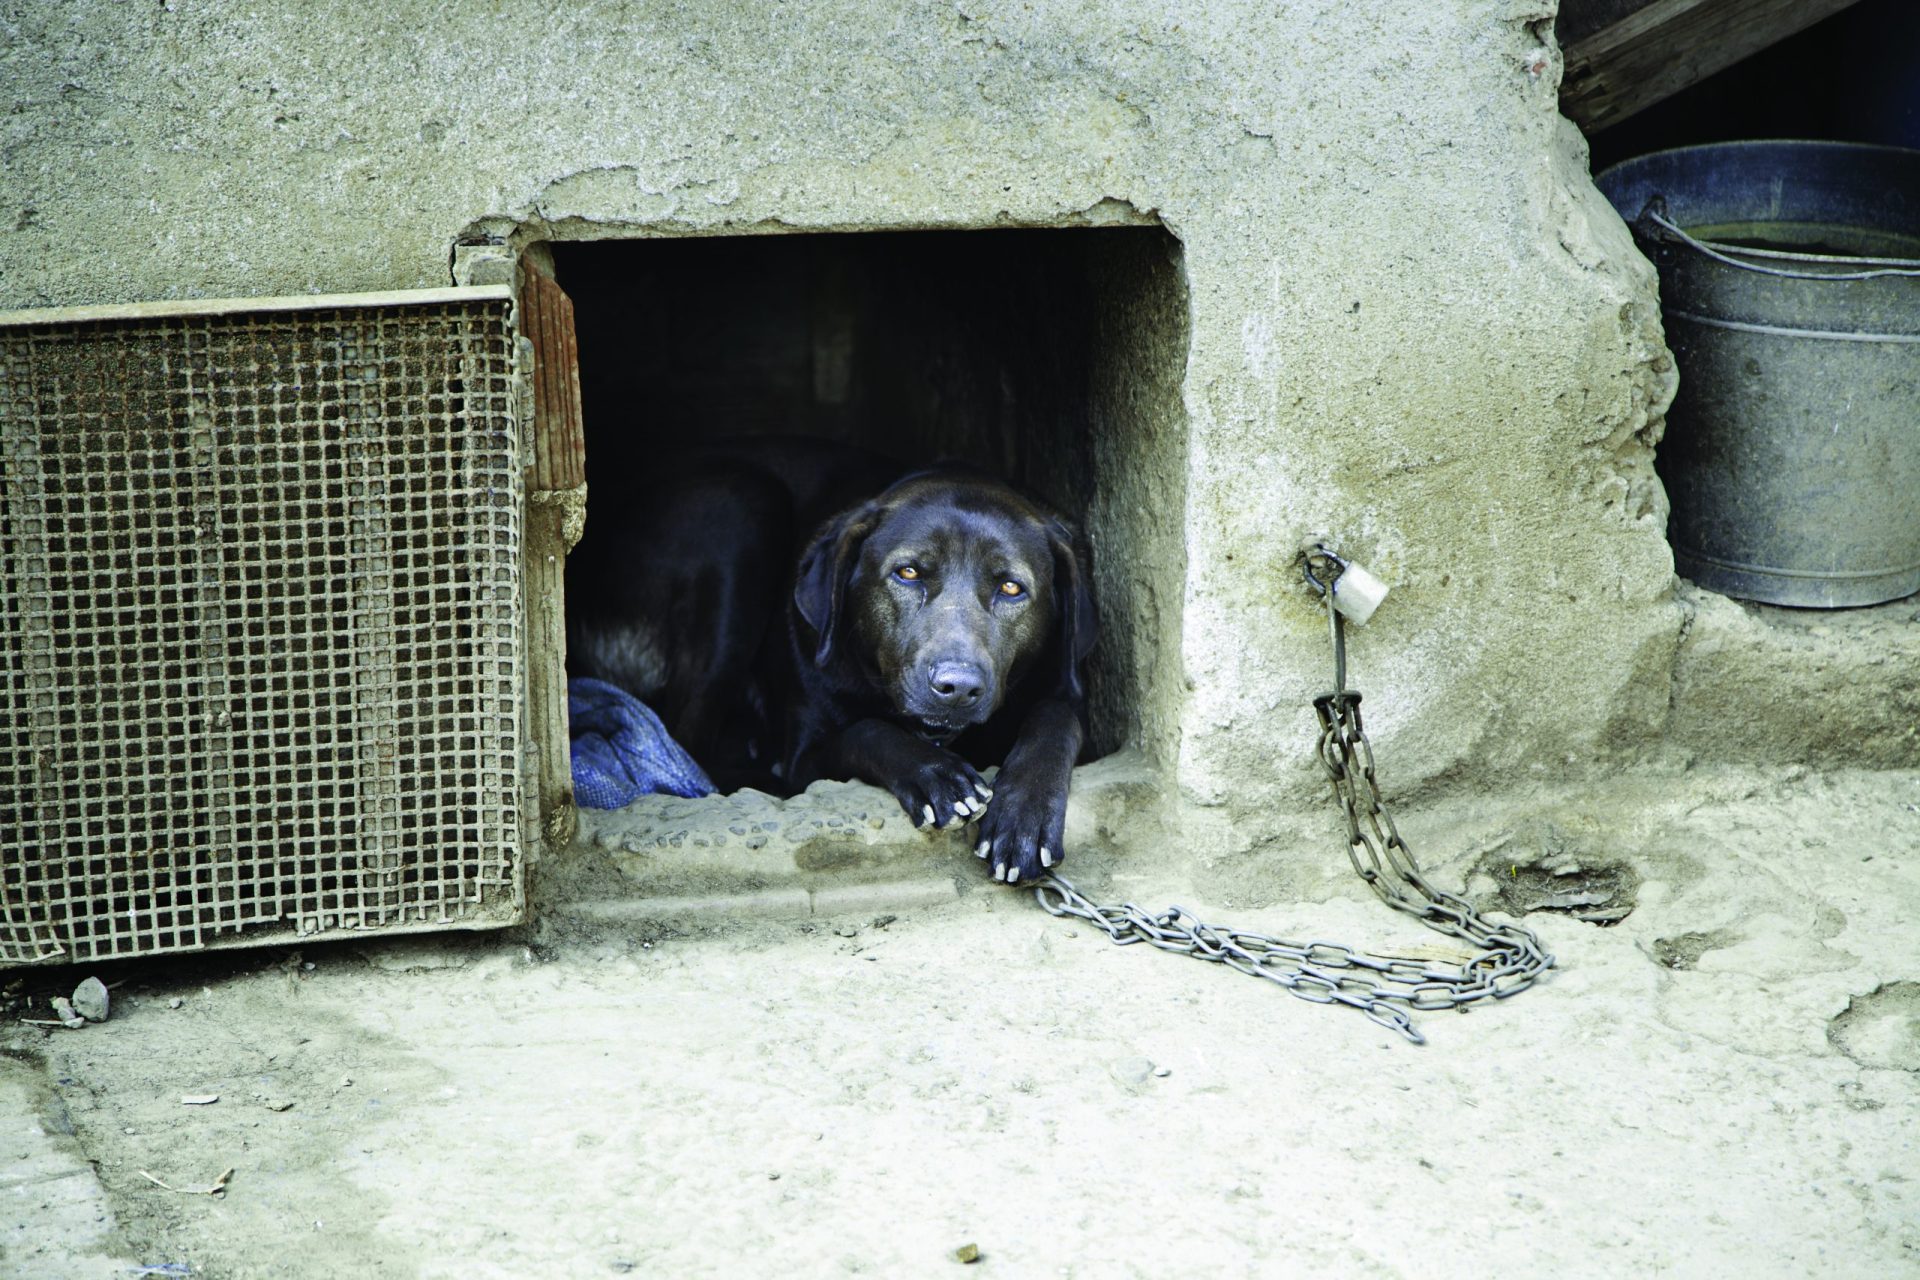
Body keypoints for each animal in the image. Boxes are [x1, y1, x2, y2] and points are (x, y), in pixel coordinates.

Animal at [564, 435, 1098, 886]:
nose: (958, 687)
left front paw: (1025, 816)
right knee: (688, 741)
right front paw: (935, 774)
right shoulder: (808, 756)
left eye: (1011, 587)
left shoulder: (1055, 689)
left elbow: (1058, 718)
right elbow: (865, 731)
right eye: (907, 573)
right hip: (740, 508)